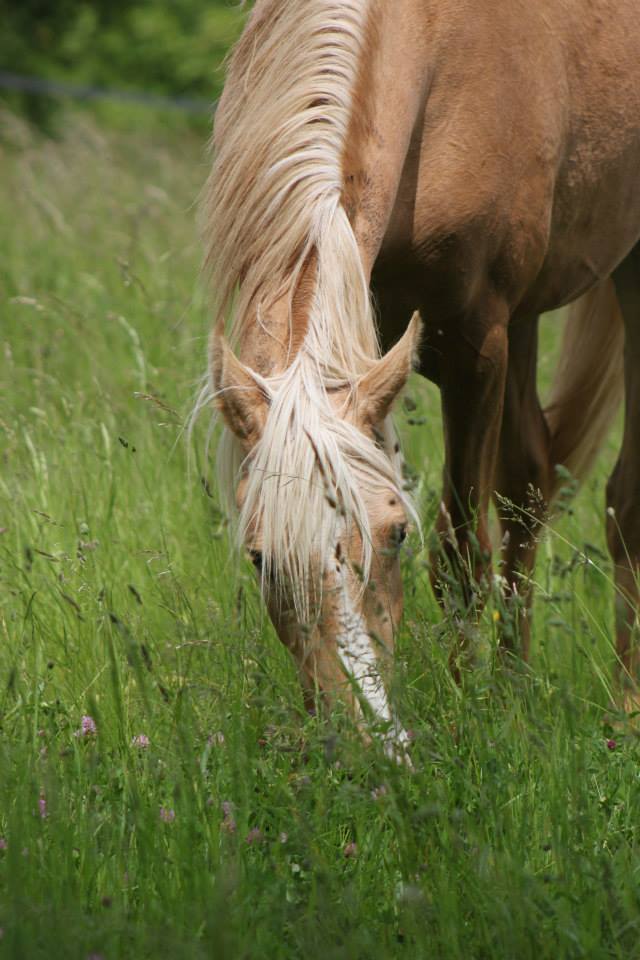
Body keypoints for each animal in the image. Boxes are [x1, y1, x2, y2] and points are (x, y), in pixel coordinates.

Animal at [199, 0, 640, 752]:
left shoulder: (475, 345)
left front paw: (468, 724)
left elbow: (461, 555)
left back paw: (624, 716)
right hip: (526, 321)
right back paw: (516, 691)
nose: (359, 742)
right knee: (532, 480)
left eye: (395, 534)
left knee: (622, 504)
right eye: (259, 557)